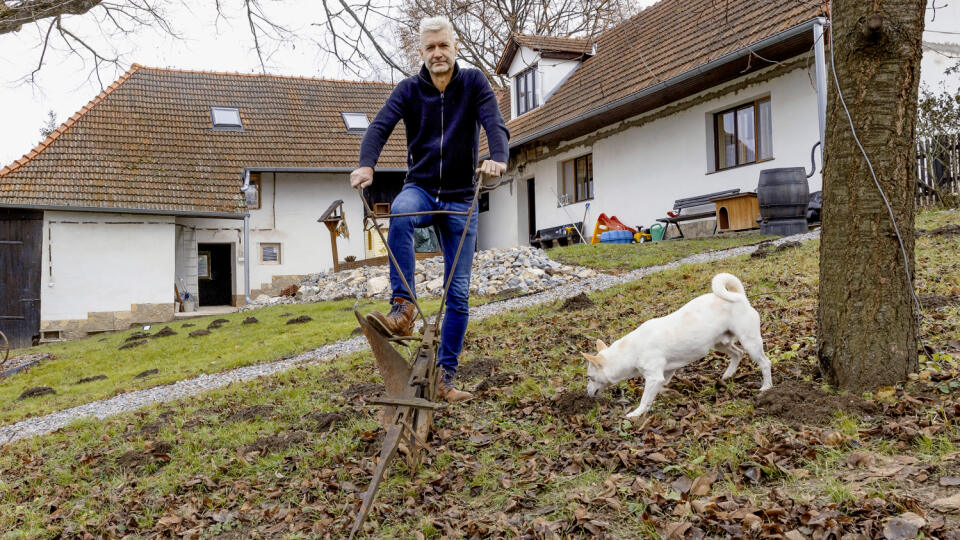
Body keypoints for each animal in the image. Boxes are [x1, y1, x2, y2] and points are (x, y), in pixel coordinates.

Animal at [576, 274, 772, 418]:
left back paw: (766, 387)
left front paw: (637, 413)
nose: (586, 393)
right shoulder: (666, 373)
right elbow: (661, 388)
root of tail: (739, 297)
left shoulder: (654, 377)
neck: (629, 350)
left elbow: (645, 398)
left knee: (765, 363)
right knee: (738, 354)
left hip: (750, 341)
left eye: (589, 378)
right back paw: (727, 375)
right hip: (720, 344)